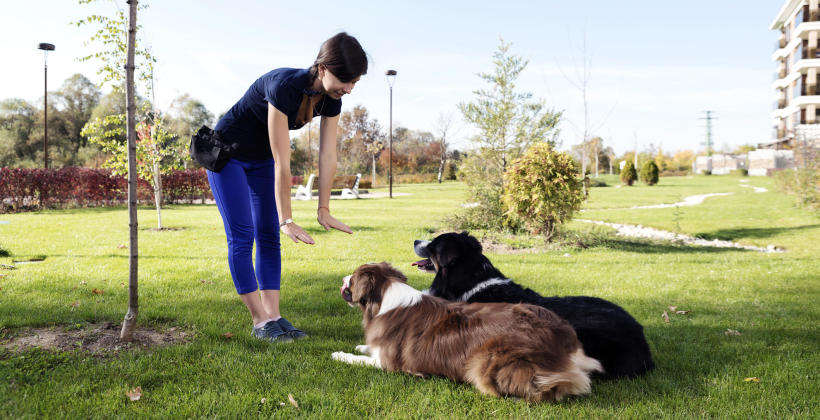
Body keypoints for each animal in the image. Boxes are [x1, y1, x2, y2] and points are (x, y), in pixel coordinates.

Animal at [334, 262, 604, 404]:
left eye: (353, 279)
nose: (342, 277)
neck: (385, 299)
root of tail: (564, 338)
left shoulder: (388, 364)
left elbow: (358, 359)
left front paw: (340, 354)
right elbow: (367, 349)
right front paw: (361, 346)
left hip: (487, 361)